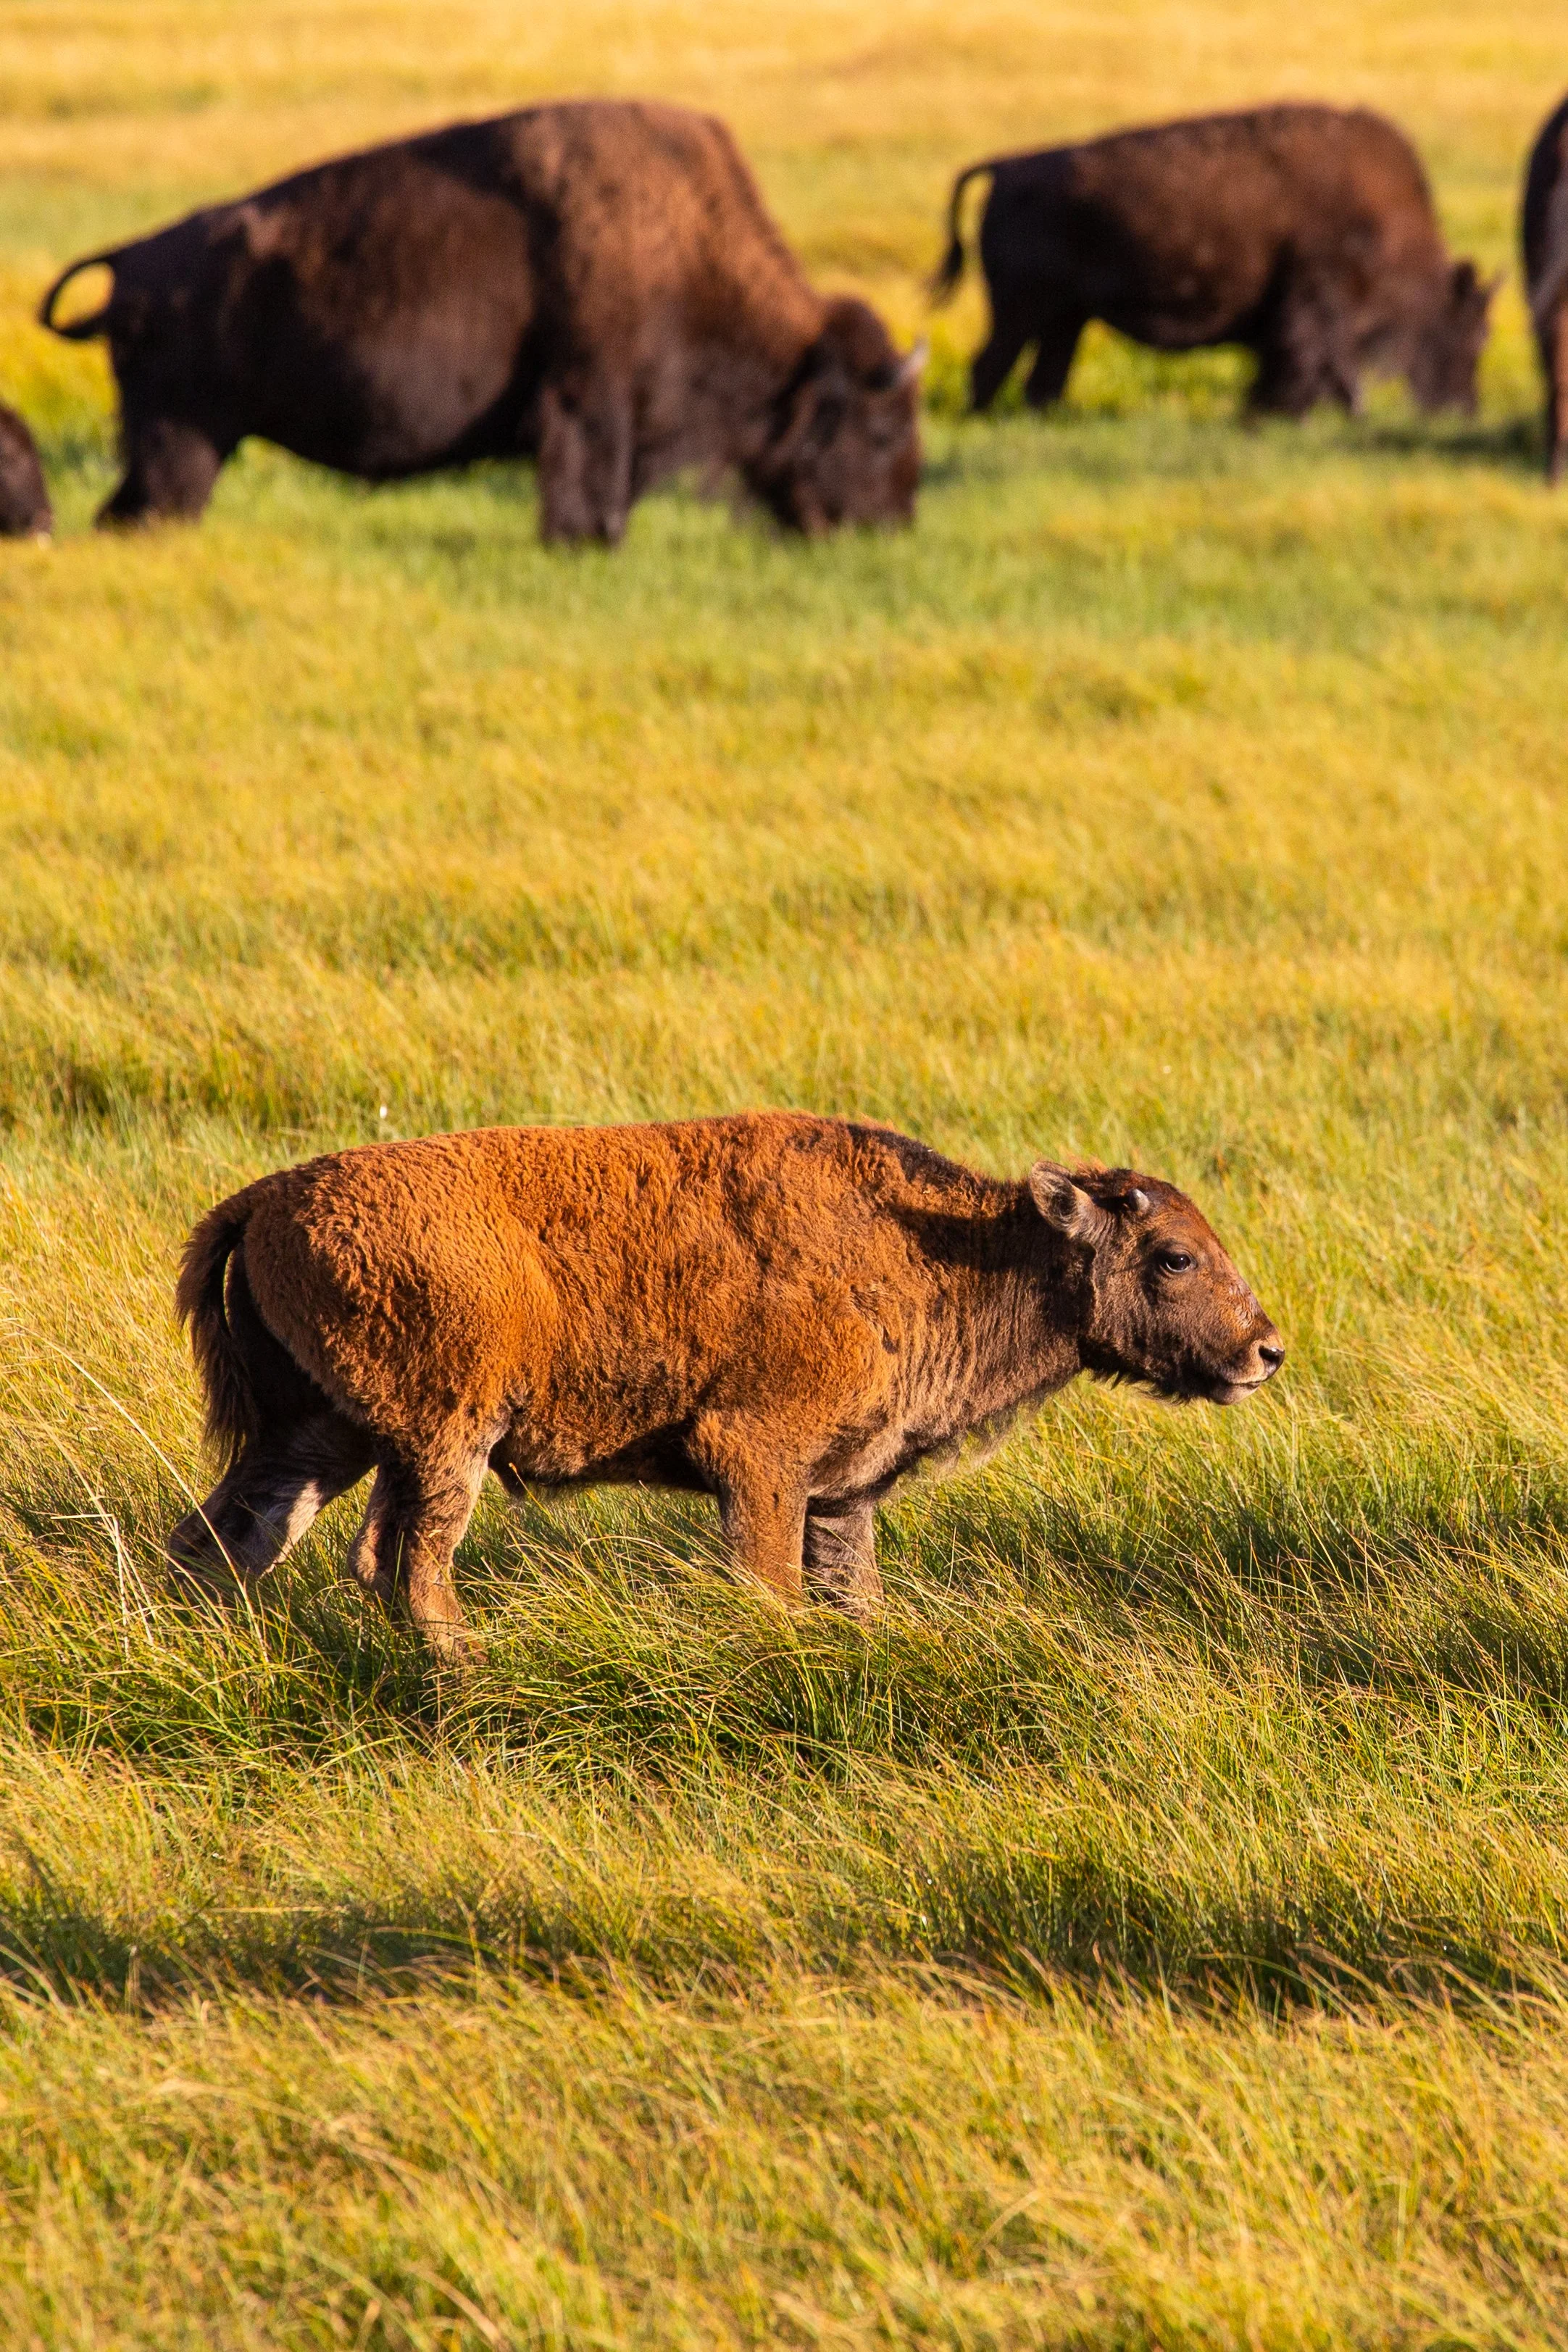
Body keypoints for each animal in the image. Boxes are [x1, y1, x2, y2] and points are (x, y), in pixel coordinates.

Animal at [40, 101, 923, 540]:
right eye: (880, 431)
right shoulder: (588, 405)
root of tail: (130, 265)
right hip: (183, 442)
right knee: (144, 511)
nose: (891, 526)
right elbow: (586, 497)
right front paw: (582, 544)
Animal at [169, 1112, 1282, 1657]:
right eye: (1175, 1255)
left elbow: (852, 1591)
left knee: (233, 1538)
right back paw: (470, 1663)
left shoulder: (842, 1491)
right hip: (447, 1439)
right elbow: (772, 1584)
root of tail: (265, 1198)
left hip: (322, 1434)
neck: (948, 1246)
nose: (1265, 1350)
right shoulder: (759, 1462)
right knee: (409, 1564)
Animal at [935, 103, 1495, 421]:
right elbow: (1314, 360)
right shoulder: (1318, 301)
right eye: (1473, 332)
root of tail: (1006, 166)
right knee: (990, 366)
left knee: (1042, 377)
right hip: (1020, 313)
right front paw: (1285, 413)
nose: (1464, 410)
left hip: (1065, 319)